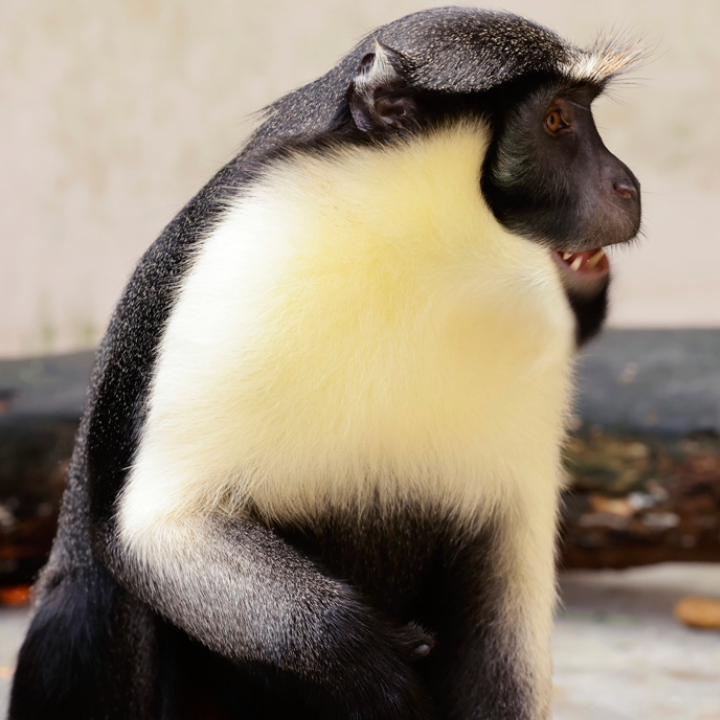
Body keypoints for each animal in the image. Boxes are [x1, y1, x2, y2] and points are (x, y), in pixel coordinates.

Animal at [9, 8, 641, 720]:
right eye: (557, 120)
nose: (628, 185)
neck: (424, 245)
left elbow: (500, 633)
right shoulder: (237, 259)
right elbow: (159, 527)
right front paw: (366, 663)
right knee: (102, 593)